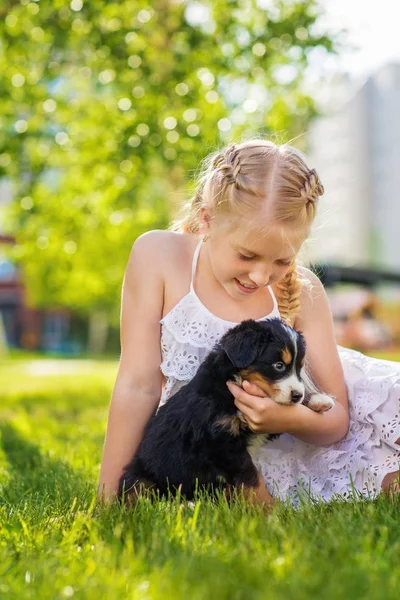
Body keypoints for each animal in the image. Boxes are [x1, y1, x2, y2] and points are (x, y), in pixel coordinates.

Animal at [118, 316, 334, 508]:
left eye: (299, 368)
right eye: (278, 366)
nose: (297, 395)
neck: (232, 384)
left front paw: (318, 400)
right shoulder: (222, 441)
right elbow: (253, 479)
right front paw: (270, 510)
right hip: (141, 477)